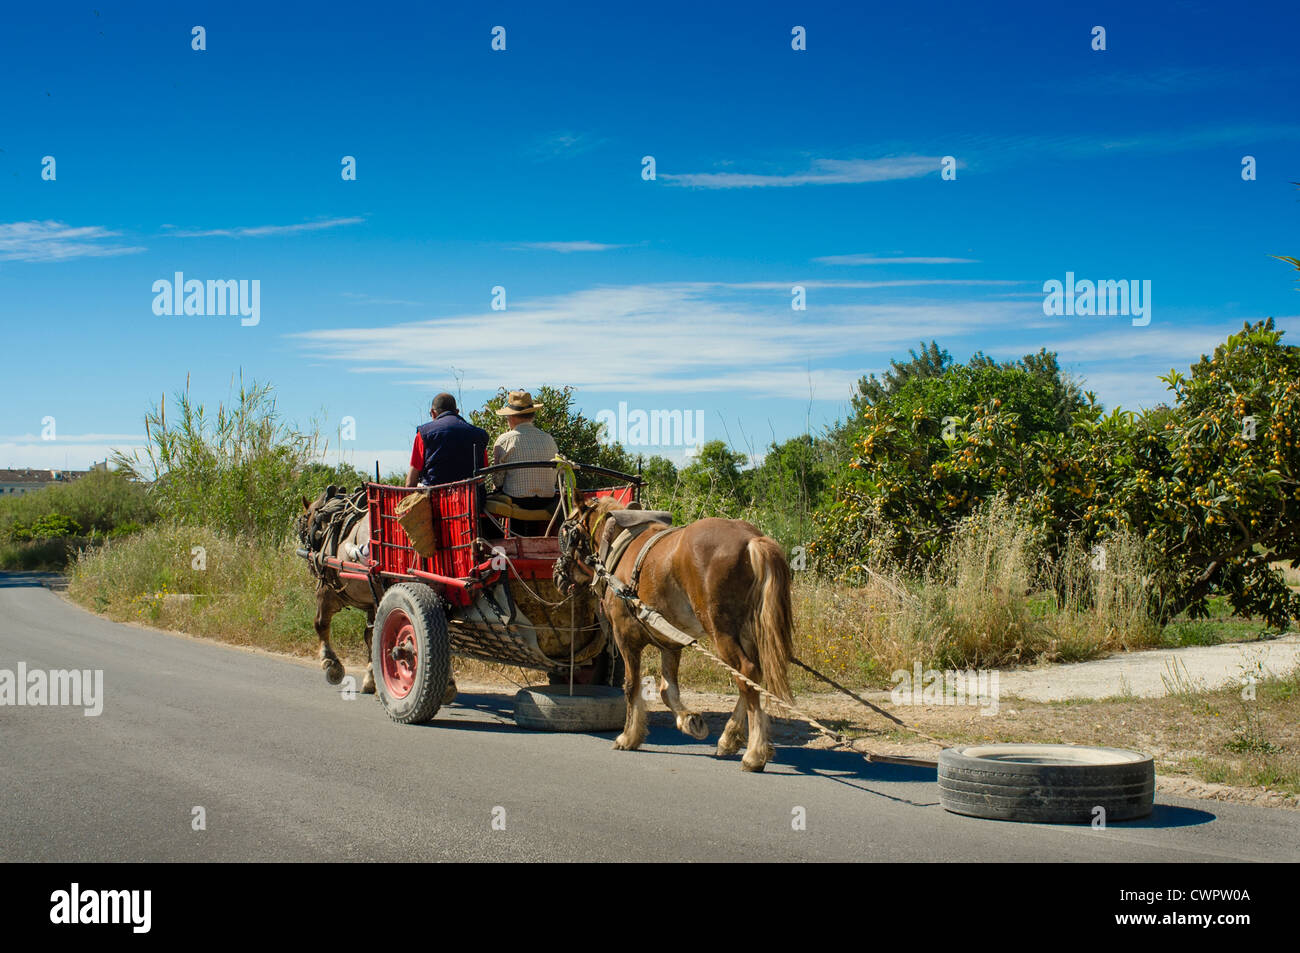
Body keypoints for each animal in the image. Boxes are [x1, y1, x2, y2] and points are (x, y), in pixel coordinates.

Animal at [555, 496, 794, 772]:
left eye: (566, 533)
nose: (557, 575)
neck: (618, 545)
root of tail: (751, 539)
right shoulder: (670, 643)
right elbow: (667, 690)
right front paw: (690, 721)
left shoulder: (625, 637)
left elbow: (631, 685)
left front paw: (628, 736)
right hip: (747, 633)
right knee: (752, 676)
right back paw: (730, 738)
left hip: (721, 630)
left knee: (747, 672)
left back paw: (754, 753)